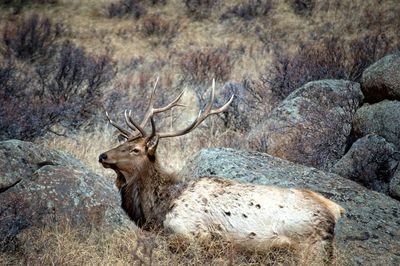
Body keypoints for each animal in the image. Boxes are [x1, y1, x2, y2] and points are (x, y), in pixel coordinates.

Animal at [99, 78, 344, 260]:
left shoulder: (188, 233)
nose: (103, 155)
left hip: (310, 247)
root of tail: (335, 211)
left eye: (135, 149)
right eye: (123, 142)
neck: (158, 209)